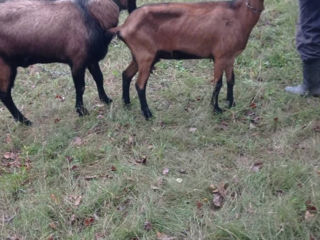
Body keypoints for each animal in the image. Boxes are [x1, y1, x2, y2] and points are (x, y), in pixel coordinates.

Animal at [0, 0, 136, 125]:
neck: (90, 14)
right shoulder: (77, 61)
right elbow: (80, 87)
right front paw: (81, 111)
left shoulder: (90, 59)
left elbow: (99, 78)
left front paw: (106, 99)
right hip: (5, 67)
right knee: (5, 95)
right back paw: (24, 121)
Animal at [114, 0, 264, 119]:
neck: (238, 14)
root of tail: (123, 27)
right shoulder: (220, 57)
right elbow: (218, 84)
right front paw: (216, 109)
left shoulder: (230, 57)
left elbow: (231, 81)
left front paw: (231, 103)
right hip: (145, 56)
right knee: (140, 85)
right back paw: (147, 114)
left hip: (140, 57)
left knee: (126, 74)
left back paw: (127, 104)